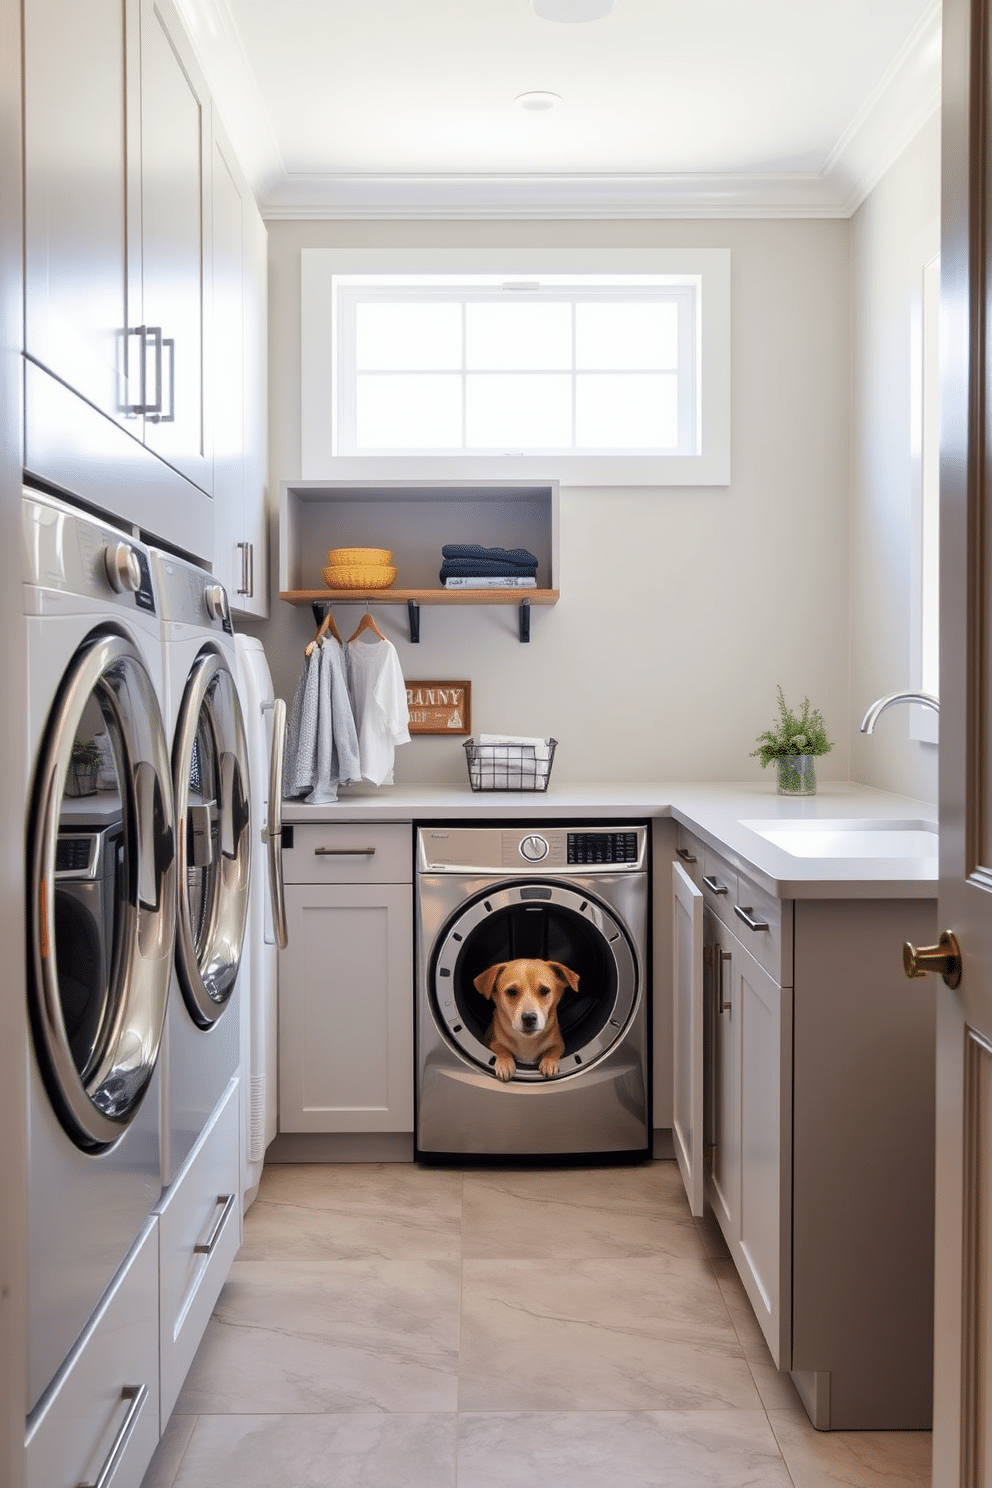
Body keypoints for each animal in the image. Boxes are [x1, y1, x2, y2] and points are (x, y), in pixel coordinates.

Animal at [475, 958, 583, 1089]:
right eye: (511, 991)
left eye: (544, 991)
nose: (529, 1018)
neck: (526, 1042)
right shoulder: (492, 1042)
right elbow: (501, 1049)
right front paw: (505, 1063)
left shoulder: (559, 1044)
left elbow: (553, 1050)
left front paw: (549, 1062)